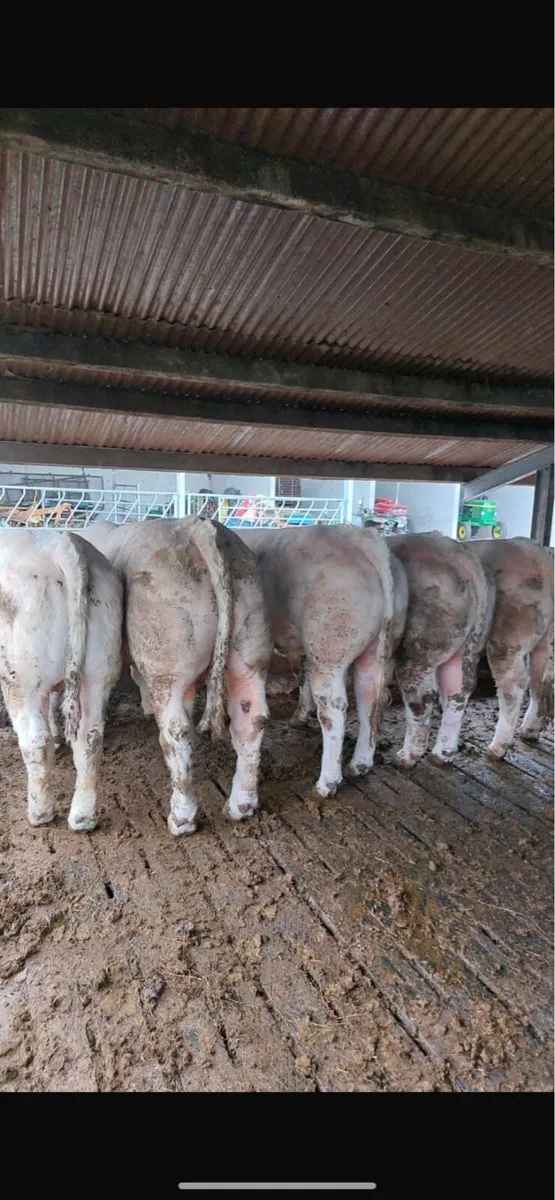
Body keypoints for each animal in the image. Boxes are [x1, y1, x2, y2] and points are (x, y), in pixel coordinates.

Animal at [0, 528, 123, 831]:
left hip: (21, 677)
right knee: (89, 737)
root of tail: (61, 545)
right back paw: (82, 817)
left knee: (35, 741)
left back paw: (40, 813)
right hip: (97, 669)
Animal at [77, 517, 273, 834]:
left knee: (176, 730)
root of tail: (197, 529)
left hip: (166, 659)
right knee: (252, 719)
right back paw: (241, 805)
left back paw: (182, 817)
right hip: (250, 642)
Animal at [221, 524, 407, 798]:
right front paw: (299, 717)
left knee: (334, 710)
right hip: (377, 651)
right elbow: (303, 676)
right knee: (370, 700)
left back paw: (326, 784)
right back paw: (360, 764)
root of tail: (364, 540)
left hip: (329, 648)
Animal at [385, 532, 494, 767]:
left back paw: (407, 757)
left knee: (423, 697)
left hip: (420, 647)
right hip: (468, 644)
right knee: (458, 688)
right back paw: (441, 754)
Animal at [467, 536, 553, 758]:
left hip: (506, 640)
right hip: (543, 641)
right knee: (538, 680)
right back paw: (529, 731)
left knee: (513, 685)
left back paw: (497, 747)